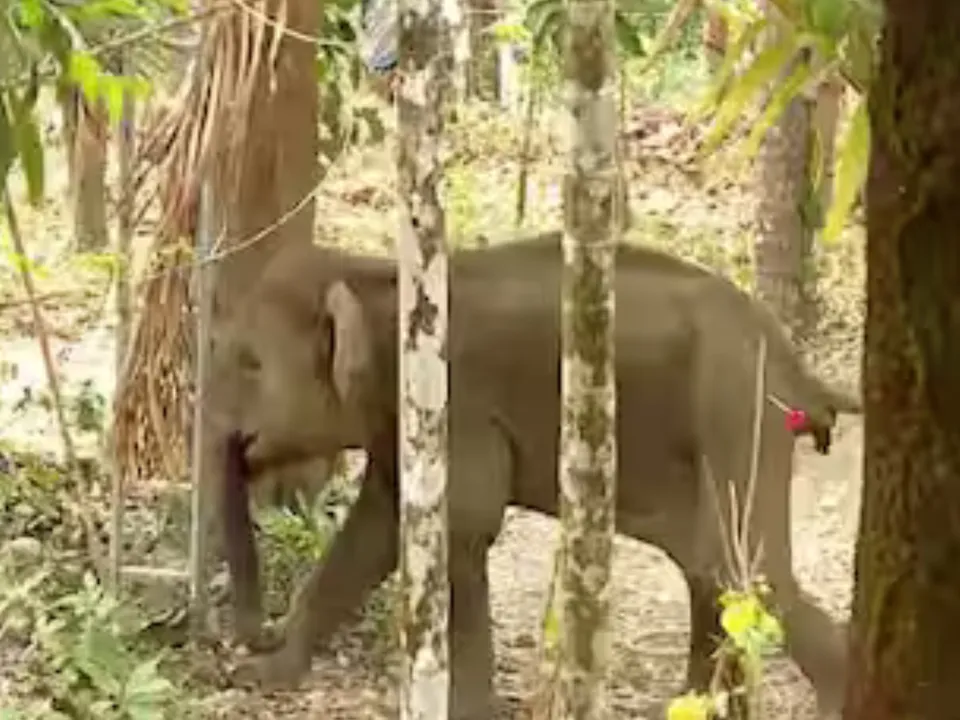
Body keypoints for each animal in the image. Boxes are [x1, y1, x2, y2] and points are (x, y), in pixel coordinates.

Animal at [211, 229, 860, 718]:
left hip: (738, 409)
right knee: (711, 571)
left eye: (249, 364)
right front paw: (263, 674)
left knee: (742, 567)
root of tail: (800, 369)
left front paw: (469, 713)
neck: (376, 273)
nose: (254, 636)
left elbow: (464, 526)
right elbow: (375, 531)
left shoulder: (460, 403)